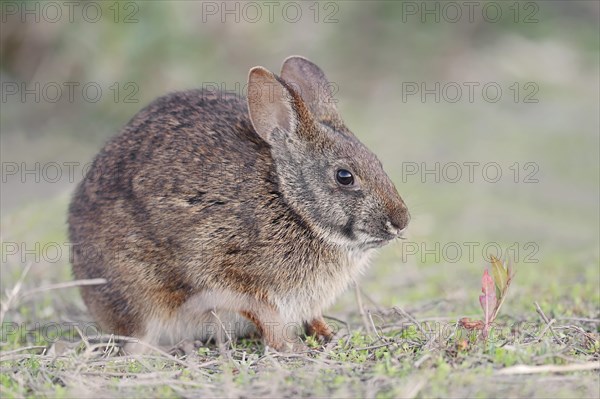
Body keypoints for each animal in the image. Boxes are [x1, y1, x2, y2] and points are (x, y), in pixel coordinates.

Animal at [68, 56, 410, 354]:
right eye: (344, 176)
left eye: (377, 162)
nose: (401, 220)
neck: (289, 201)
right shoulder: (224, 266)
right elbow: (263, 312)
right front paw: (290, 347)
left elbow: (310, 315)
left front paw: (327, 334)